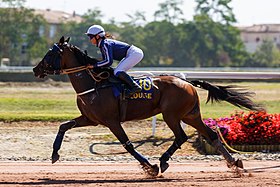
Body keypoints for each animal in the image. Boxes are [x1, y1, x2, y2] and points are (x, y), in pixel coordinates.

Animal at [33, 36, 264, 177]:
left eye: (50, 53)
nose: (35, 69)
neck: (93, 84)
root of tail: (188, 82)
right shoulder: (91, 119)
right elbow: (63, 126)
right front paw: (54, 154)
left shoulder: (111, 121)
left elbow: (127, 145)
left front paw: (149, 167)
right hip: (190, 115)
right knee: (212, 135)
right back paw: (234, 163)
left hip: (171, 115)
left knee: (181, 136)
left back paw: (162, 161)